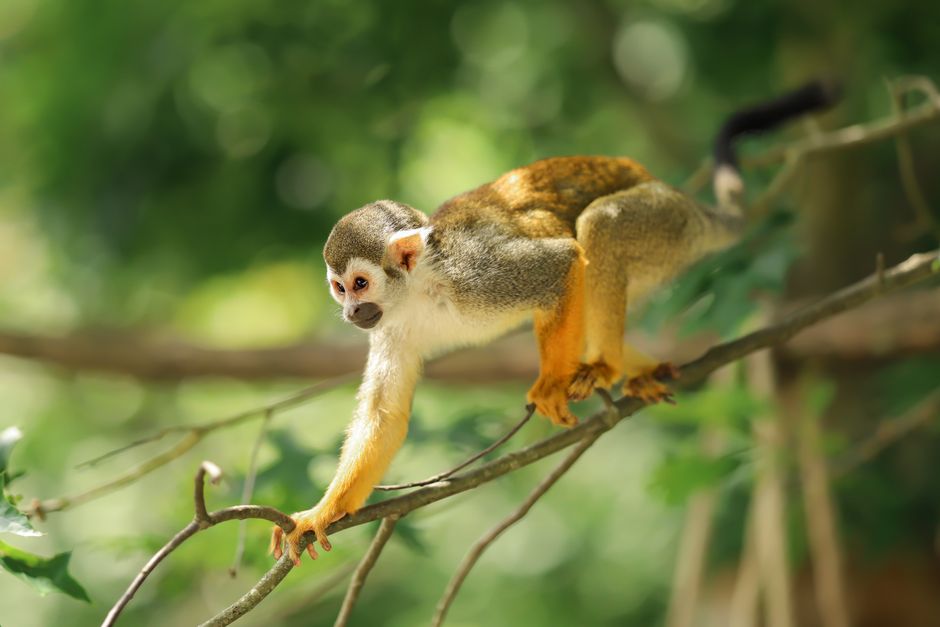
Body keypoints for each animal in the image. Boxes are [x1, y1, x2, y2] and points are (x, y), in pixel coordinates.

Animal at [271, 81, 840, 564]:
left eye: (360, 283)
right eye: (339, 288)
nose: (351, 312)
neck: (420, 290)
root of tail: (678, 197)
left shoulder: (476, 276)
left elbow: (562, 263)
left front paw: (549, 384)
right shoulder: (391, 326)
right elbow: (386, 415)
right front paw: (320, 513)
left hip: (665, 226)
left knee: (600, 229)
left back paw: (604, 364)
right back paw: (638, 367)